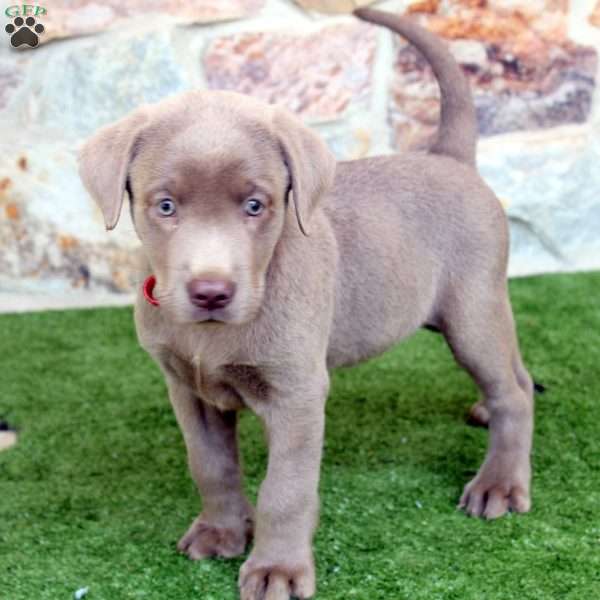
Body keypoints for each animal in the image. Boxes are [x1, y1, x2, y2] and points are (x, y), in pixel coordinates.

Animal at [79, 9, 536, 600]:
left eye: (256, 205)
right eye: (165, 206)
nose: (211, 292)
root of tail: (448, 158)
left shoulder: (297, 393)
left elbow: (285, 489)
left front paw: (277, 568)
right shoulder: (188, 388)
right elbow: (210, 465)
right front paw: (221, 532)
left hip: (471, 311)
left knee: (512, 393)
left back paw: (499, 484)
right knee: (516, 373)